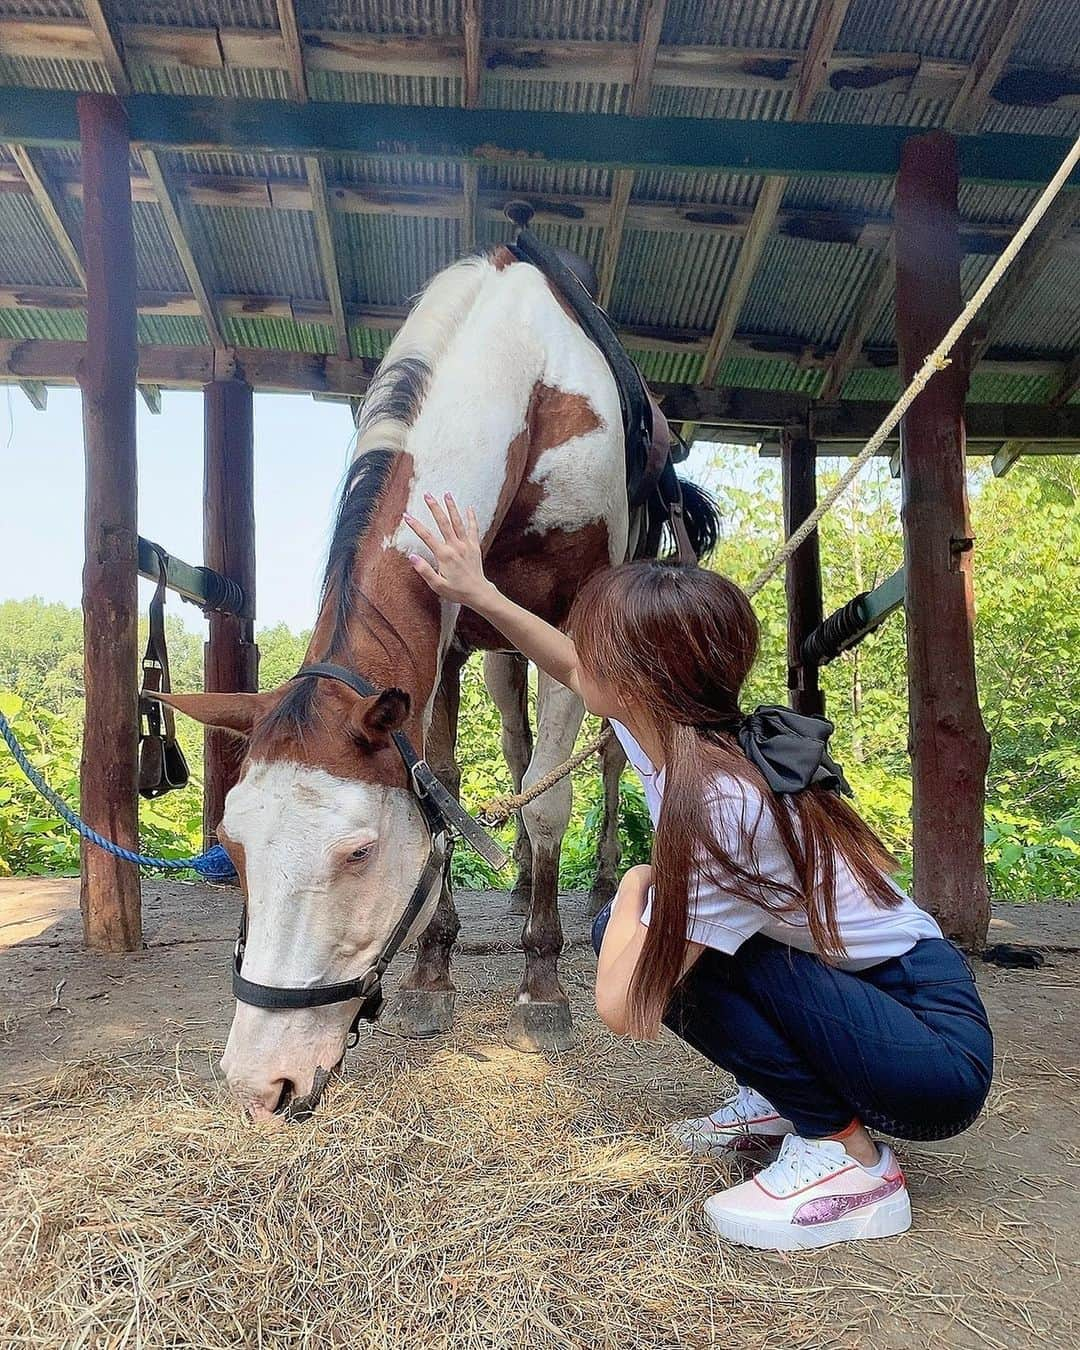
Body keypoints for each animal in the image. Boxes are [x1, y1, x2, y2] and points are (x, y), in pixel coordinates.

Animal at [157, 245, 718, 1117]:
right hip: (501, 654)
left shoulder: (570, 622)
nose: (261, 1081)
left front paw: (542, 988)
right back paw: (521, 886)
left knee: (602, 755)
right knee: (521, 746)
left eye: (358, 852)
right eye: (233, 842)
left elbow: (551, 801)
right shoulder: (449, 641)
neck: (529, 370)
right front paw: (432, 972)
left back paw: (589, 894)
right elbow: (447, 783)